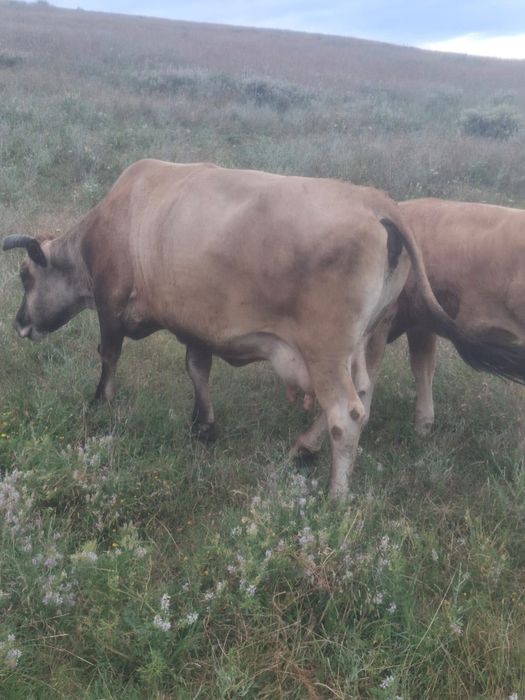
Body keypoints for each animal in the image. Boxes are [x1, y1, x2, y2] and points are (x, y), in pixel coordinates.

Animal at [2, 160, 492, 499]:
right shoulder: (197, 327)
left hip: (325, 353)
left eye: (25, 275)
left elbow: (108, 356)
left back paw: (336, 496)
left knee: (346, 414)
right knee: (365, 392)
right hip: (365, 341)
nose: (20, 323)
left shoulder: (109, 305)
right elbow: (197, 370)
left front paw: (100, 403)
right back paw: (303, 447)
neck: (119, 214)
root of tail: (376, 201)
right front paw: (203, 425)